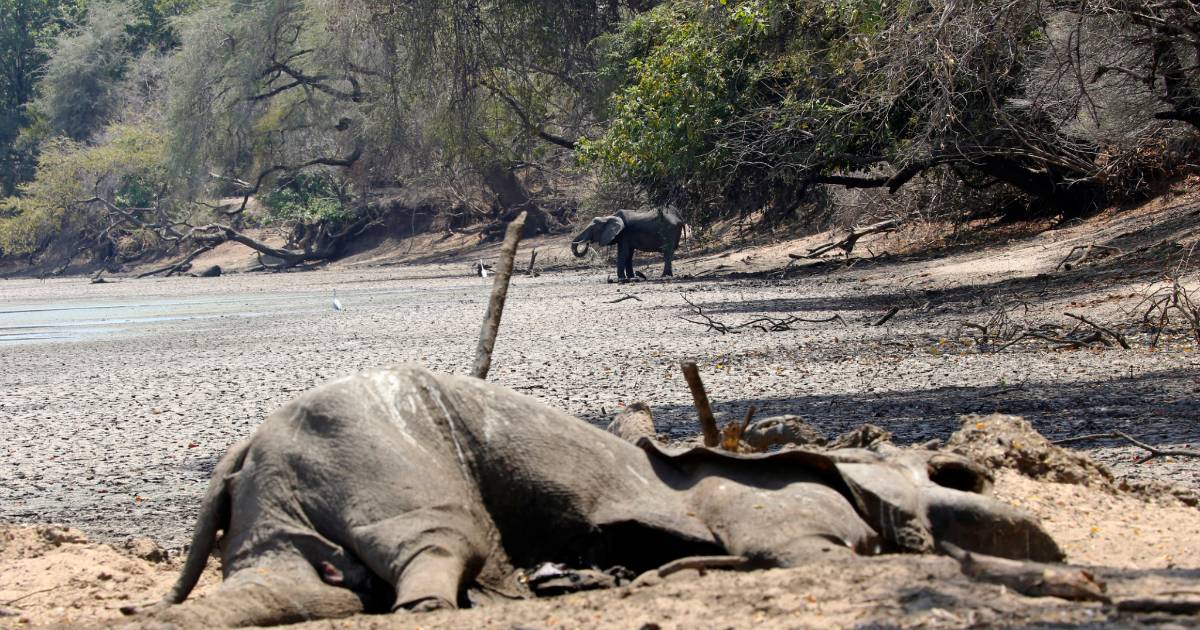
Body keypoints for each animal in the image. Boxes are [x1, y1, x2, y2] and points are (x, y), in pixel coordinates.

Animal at [133, 364, 1062, 627]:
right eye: (949, 473)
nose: (977, 470)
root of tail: (247, 446)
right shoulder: (784, 519)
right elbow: (807, 555)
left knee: (310, 587)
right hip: (396, 465)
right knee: (435, 557)